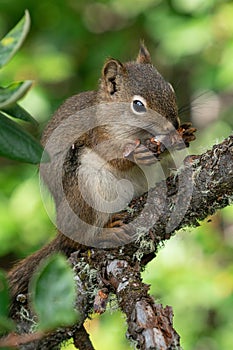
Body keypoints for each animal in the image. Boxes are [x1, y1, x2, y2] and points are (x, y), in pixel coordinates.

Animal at [8, 43, 196, 312]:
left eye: (169, 88)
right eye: (138, 105)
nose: (173, 124)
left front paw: (187, 132)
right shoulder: (98, 136)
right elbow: (116, 158)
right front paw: (137, 154)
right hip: (84, 189)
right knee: (82, 239)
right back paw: (106, 233)